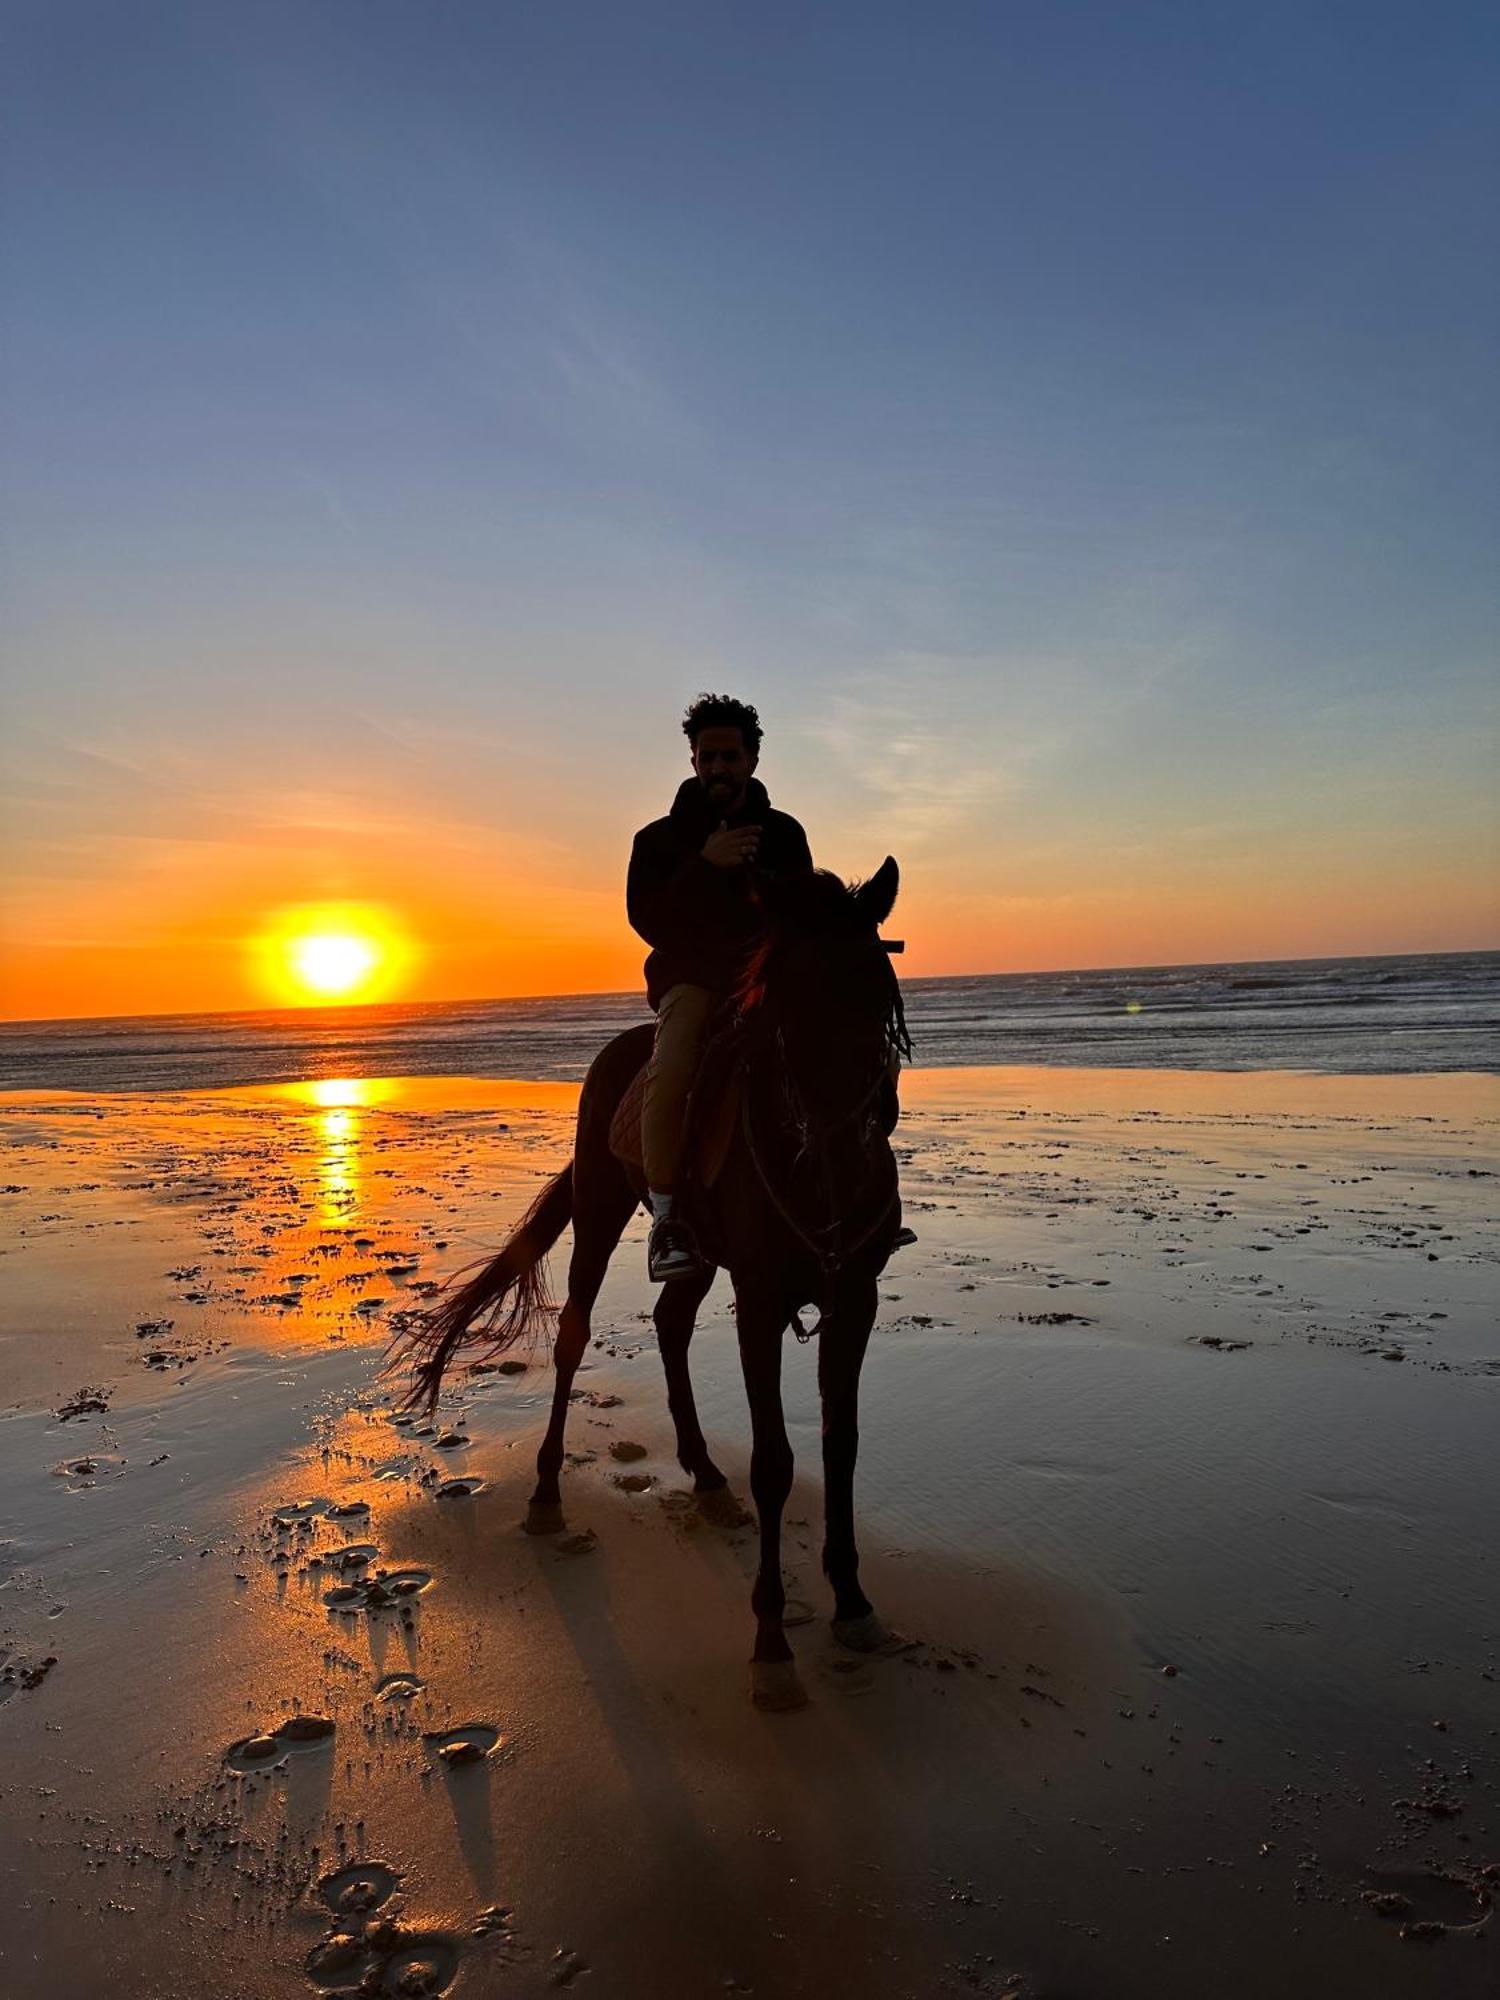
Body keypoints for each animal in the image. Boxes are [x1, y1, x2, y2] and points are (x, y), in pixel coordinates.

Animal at [400, 856, 912, 1704]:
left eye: (880, 994)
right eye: (784, 1006)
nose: (843, 1155)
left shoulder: (854, 1300)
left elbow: (842, 1446)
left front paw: (853, 1602)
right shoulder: (761, 1300)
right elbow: (775, 1461)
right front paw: (772, 1644)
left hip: (699, 1254)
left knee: (671, 1323)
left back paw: (703, 1472)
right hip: (601, 1209)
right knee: (573, 1335)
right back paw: (546, 1495)